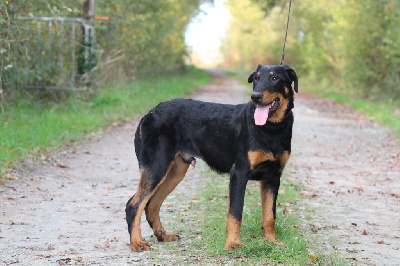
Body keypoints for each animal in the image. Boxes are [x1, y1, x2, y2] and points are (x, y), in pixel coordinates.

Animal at [125, 64, 296, 251]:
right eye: (256, 78)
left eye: (275, 78)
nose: (255, 97)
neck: (271, 128)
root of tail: (149, 114)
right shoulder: (239, 173)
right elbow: (235, 213)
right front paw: (233, 244)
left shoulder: (273, 177)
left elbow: (270, 215)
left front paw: (272, 241)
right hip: (157, 166)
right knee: (134, 204)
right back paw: (136, 242)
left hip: (175, 171)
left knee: (152, 204)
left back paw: (163, 235)